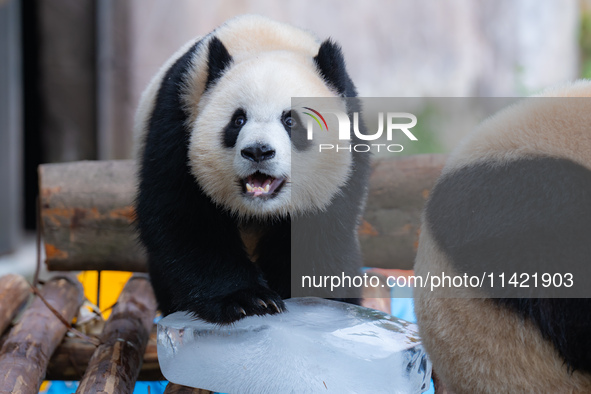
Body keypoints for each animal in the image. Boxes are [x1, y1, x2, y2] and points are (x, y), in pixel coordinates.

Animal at [133, 14, 370, 324]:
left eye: (291, 121)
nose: (258, 151)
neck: (264, 41)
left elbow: (322, 231)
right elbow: (182, 216)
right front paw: (249, 300)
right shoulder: (178, 118)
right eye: (238, 120)